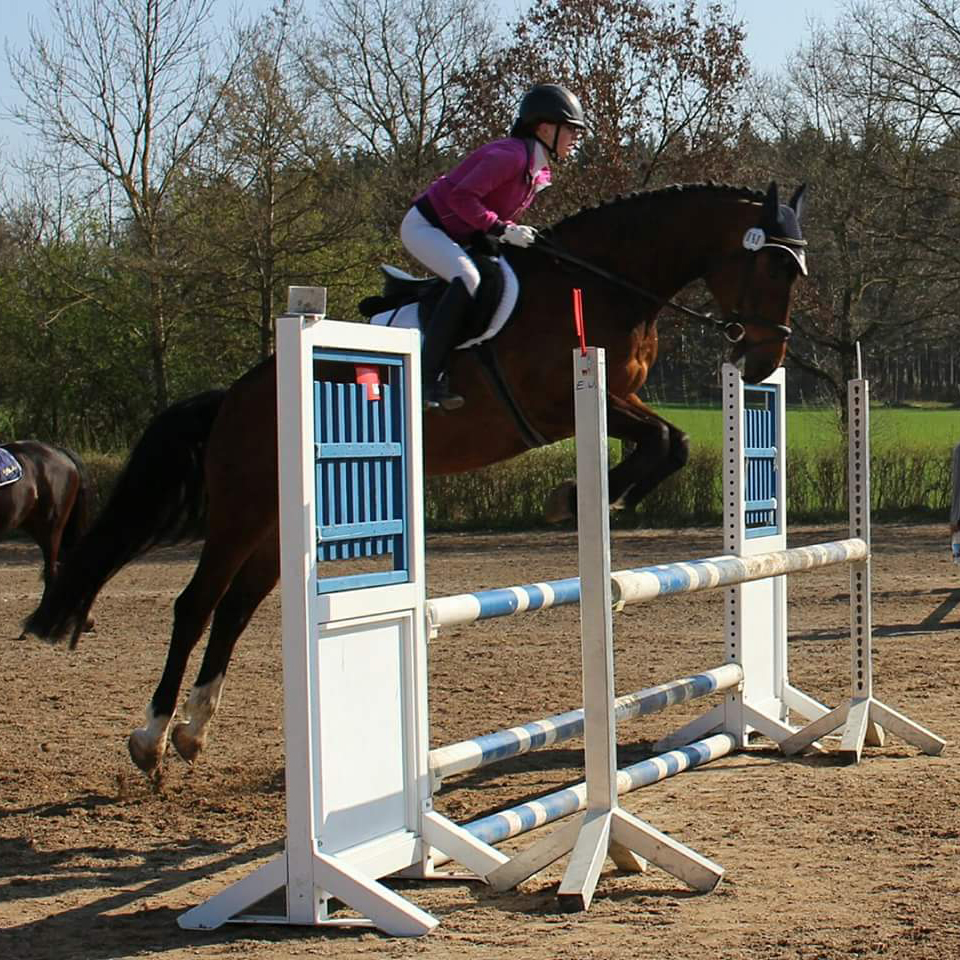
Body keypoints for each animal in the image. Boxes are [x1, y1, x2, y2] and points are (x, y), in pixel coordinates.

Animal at [22, 181, 808, 776]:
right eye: (776, 270)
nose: (764, 363)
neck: (603, 280)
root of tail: (236, 397)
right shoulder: (568, 400)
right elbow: (666, 440)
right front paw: (576, 497)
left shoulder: (621, 401)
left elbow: (671, 443)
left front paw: (598, 496)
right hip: (241, 509)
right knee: (195, 606)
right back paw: (150, 739)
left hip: (279, 523)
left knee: (237, 609)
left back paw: (192, 732)